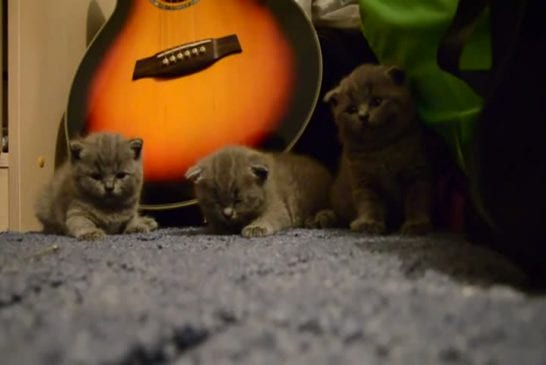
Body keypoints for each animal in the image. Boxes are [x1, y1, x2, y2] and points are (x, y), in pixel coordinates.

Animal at [184, 145, 332, 236]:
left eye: (238, 200)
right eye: (216, 200)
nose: (227, 214)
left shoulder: (278, 205)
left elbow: (273, 215)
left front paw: (256, 227)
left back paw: (319, 219)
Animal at [308, 62, 432, 233]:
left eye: (377, 101)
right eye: (352, 109)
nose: (363, 116)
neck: (381, 149)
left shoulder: (416, 173)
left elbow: (416, 201)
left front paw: (417, 225)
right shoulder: (363, 179)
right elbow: (369, 203)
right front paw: (368, 223)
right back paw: (322, 218)